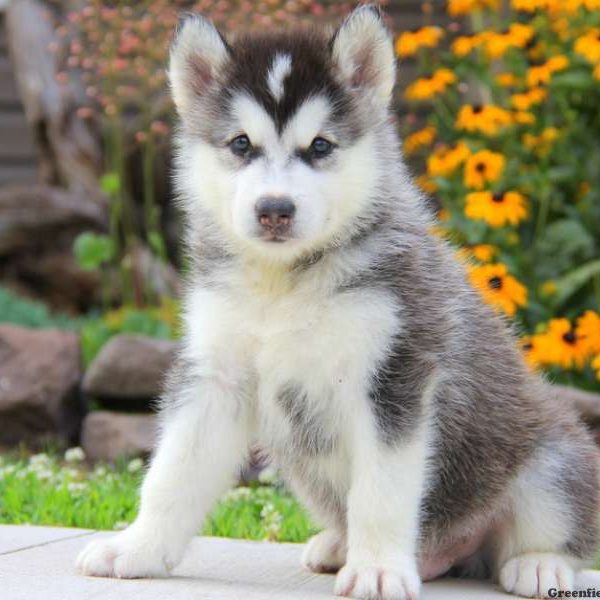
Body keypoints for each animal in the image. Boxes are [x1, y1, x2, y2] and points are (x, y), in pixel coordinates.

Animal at [78, 5, 600, 600]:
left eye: (321, 146)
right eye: (240, 144)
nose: (274, 209)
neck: (285, 283)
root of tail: (455, 552)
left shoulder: (393, 378)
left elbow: (381, 491)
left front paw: (378, 569)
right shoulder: (216, 375)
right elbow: (172, 473)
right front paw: (136, 547)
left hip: (553, 460)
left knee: (554, 527)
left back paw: (539, 564)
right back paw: (338, 545)